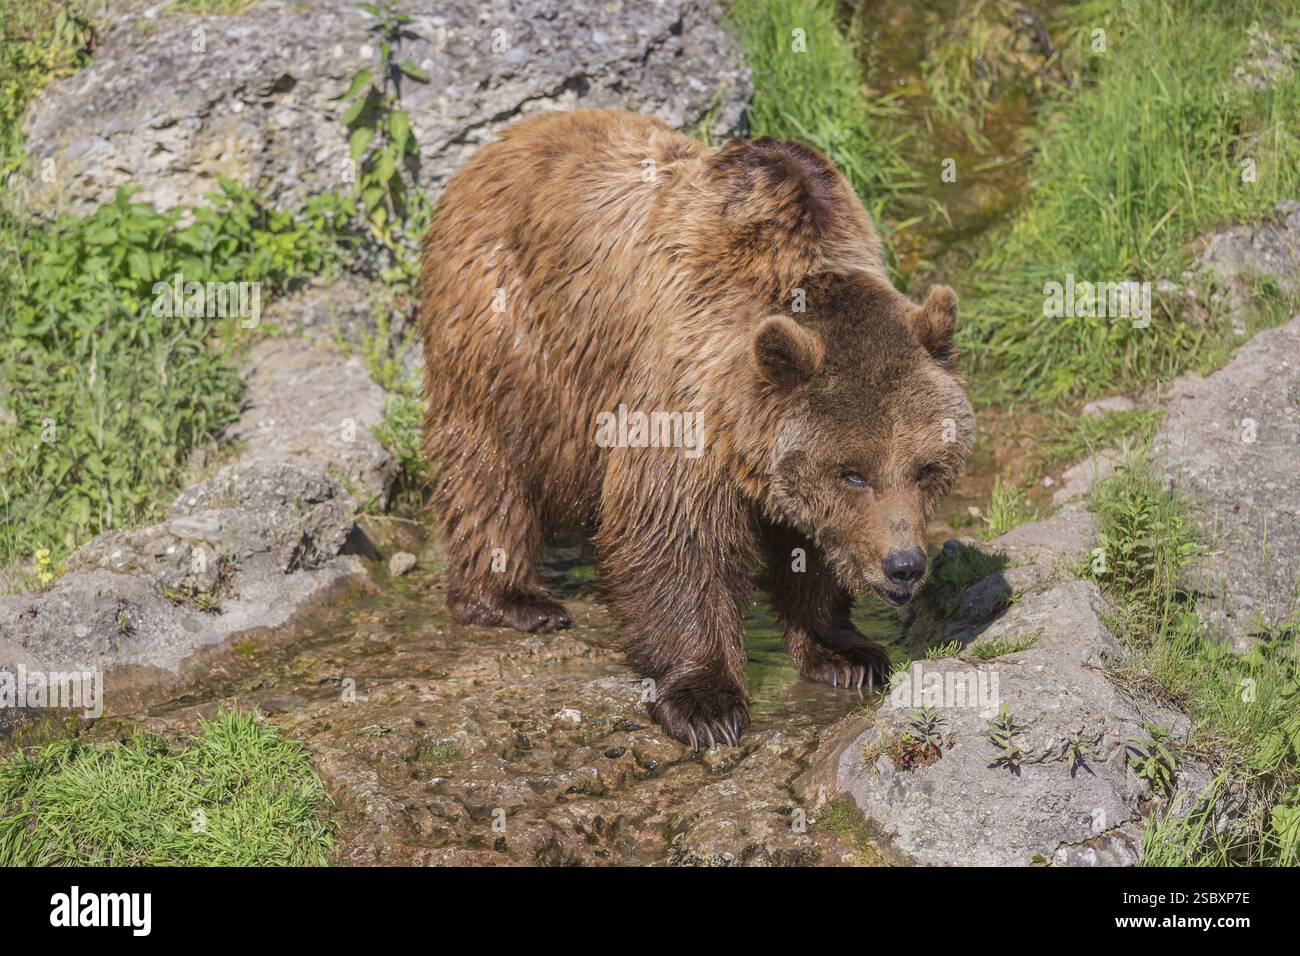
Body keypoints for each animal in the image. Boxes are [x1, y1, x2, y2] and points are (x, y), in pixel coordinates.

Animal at [418, 109, 975, 749]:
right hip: (505, 320)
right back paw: (514, 598)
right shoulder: (686, 387)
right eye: (853, 474)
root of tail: (505, 140)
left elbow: (808, 546)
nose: (903, 565)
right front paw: (706, 702)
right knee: (488, 457)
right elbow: (674, 531)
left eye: (926, 468)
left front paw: (848, 652)